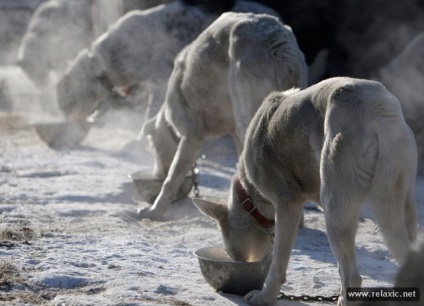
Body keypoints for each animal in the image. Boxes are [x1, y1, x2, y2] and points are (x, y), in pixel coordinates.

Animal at [139, 11, 308, 220]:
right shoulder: (233, 134)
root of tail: (277, 41)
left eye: (151, 148)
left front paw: (154, 210)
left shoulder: (193, 136)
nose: (155, 175)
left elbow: (172, 177)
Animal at [195, 77, 418, 306]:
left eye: (231, 252)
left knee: (353, 276)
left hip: (339, 210)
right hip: (402, 206)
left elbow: (278, 264)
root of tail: (377, 108)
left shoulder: (288, 204)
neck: (250, 195)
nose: (239, 262)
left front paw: (264, 297)